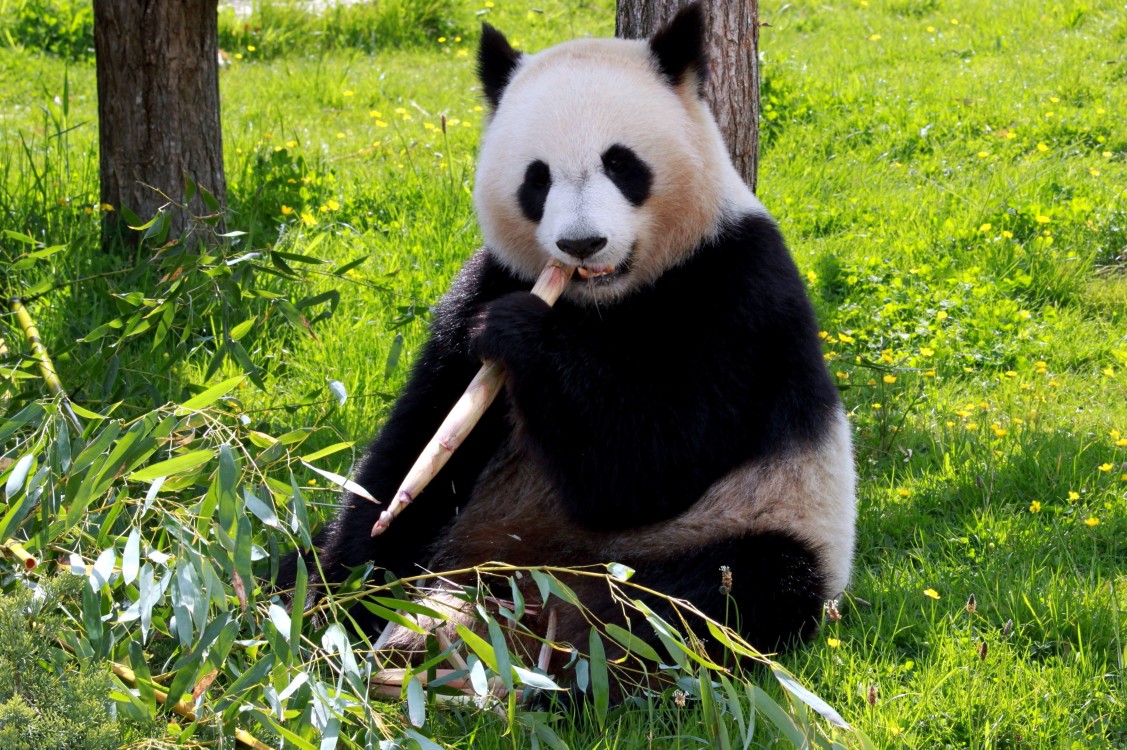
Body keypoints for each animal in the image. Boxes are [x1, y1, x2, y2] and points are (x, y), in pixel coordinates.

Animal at [289, 3, 856, 676]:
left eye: (622, 164)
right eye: (537, 179)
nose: (581, 244)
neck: (601, 301)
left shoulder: (735, 290)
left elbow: (647, 465)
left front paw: (519, 332)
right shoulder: (490, 278)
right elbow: (420, 442)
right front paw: (344, 588)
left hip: (753, 522)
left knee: (722, 596)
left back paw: (569, 658)